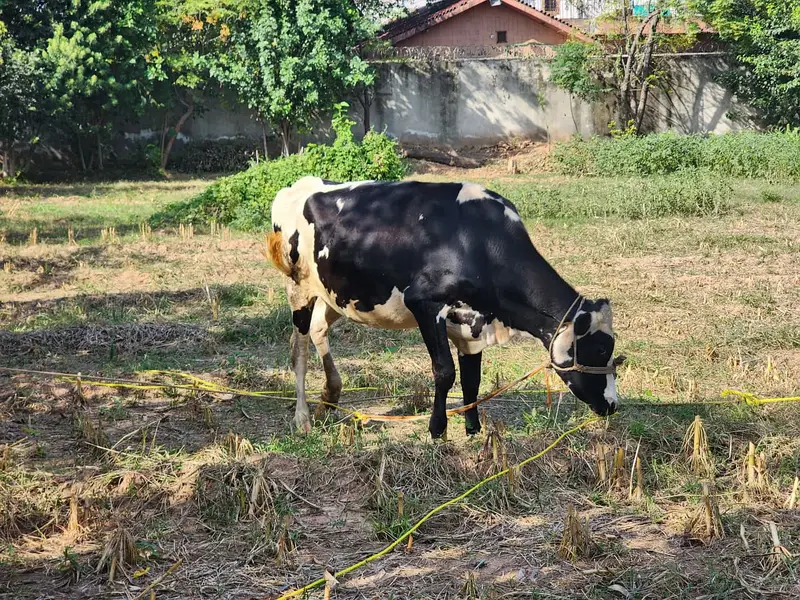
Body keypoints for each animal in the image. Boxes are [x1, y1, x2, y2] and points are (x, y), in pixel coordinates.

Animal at [267, 176, 620, 438]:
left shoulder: (472, 324)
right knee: (299, 349)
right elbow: (445, 371)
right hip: (298, 287)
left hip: (336, 293)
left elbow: (472, 379)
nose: (613, 405)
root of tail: (297, 186)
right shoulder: (424, 303)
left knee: (317, 329)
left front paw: (473, 428)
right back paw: (302, 418)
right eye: (600, 349)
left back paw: (330, 397)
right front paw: (437, 429)